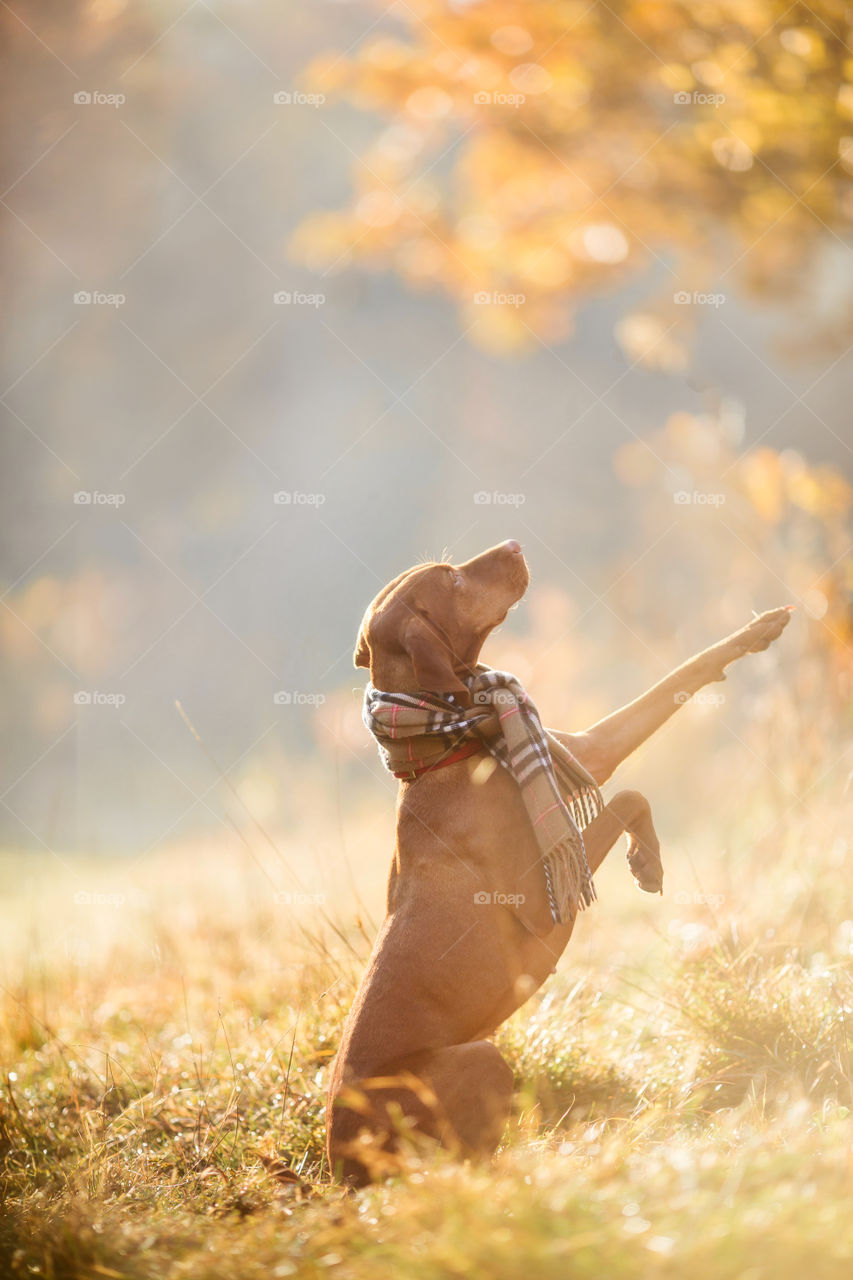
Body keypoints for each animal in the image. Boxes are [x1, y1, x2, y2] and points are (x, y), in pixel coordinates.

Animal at [326, 537, 788, 1177]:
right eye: (452, 580)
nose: (515, 544)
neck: (450, 743)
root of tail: (337, 1163)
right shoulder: (542, 902)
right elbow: (626, 794)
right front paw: (648, 859)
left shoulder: (586, 748)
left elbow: (671, 690)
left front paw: (755, 632)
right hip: (478, 1058)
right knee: (464, 1165)